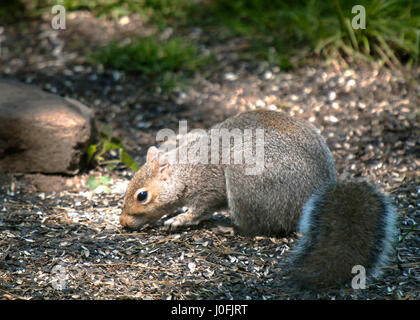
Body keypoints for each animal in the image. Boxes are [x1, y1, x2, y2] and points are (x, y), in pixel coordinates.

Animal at [120, 109, 398, 288]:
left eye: (142, 196)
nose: (123, 223)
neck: (185, 170)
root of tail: (313, 195)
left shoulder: (209, 187)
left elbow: (201, 208)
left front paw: (180, 220)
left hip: (247, 182)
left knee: (255, 226)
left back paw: (228, 227)